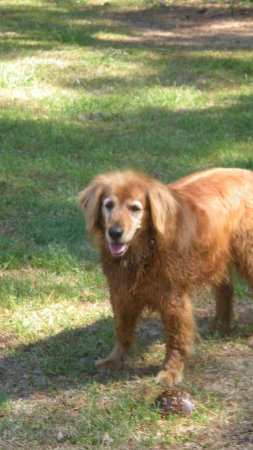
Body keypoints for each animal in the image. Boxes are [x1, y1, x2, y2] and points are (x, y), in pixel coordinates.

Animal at [79, 167, 253, 384]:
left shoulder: (173, 299)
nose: (115, 232)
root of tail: (247, 173)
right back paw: (219, 326)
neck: (145, 250)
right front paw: (115, 359)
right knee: (225, 290)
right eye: (108, 205)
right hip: (216, 256)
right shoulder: (121, 293)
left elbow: (175, 338)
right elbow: (122, 330)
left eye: (135, 208)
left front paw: (172, 370)